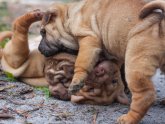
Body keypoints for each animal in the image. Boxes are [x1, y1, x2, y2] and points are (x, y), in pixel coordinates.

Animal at [0, 10, 128, 105]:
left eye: (92, 89)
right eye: (114, 80)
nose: (102, 70)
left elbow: (58, 86)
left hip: (18, 55)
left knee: (19, 29)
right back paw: (38, 14)